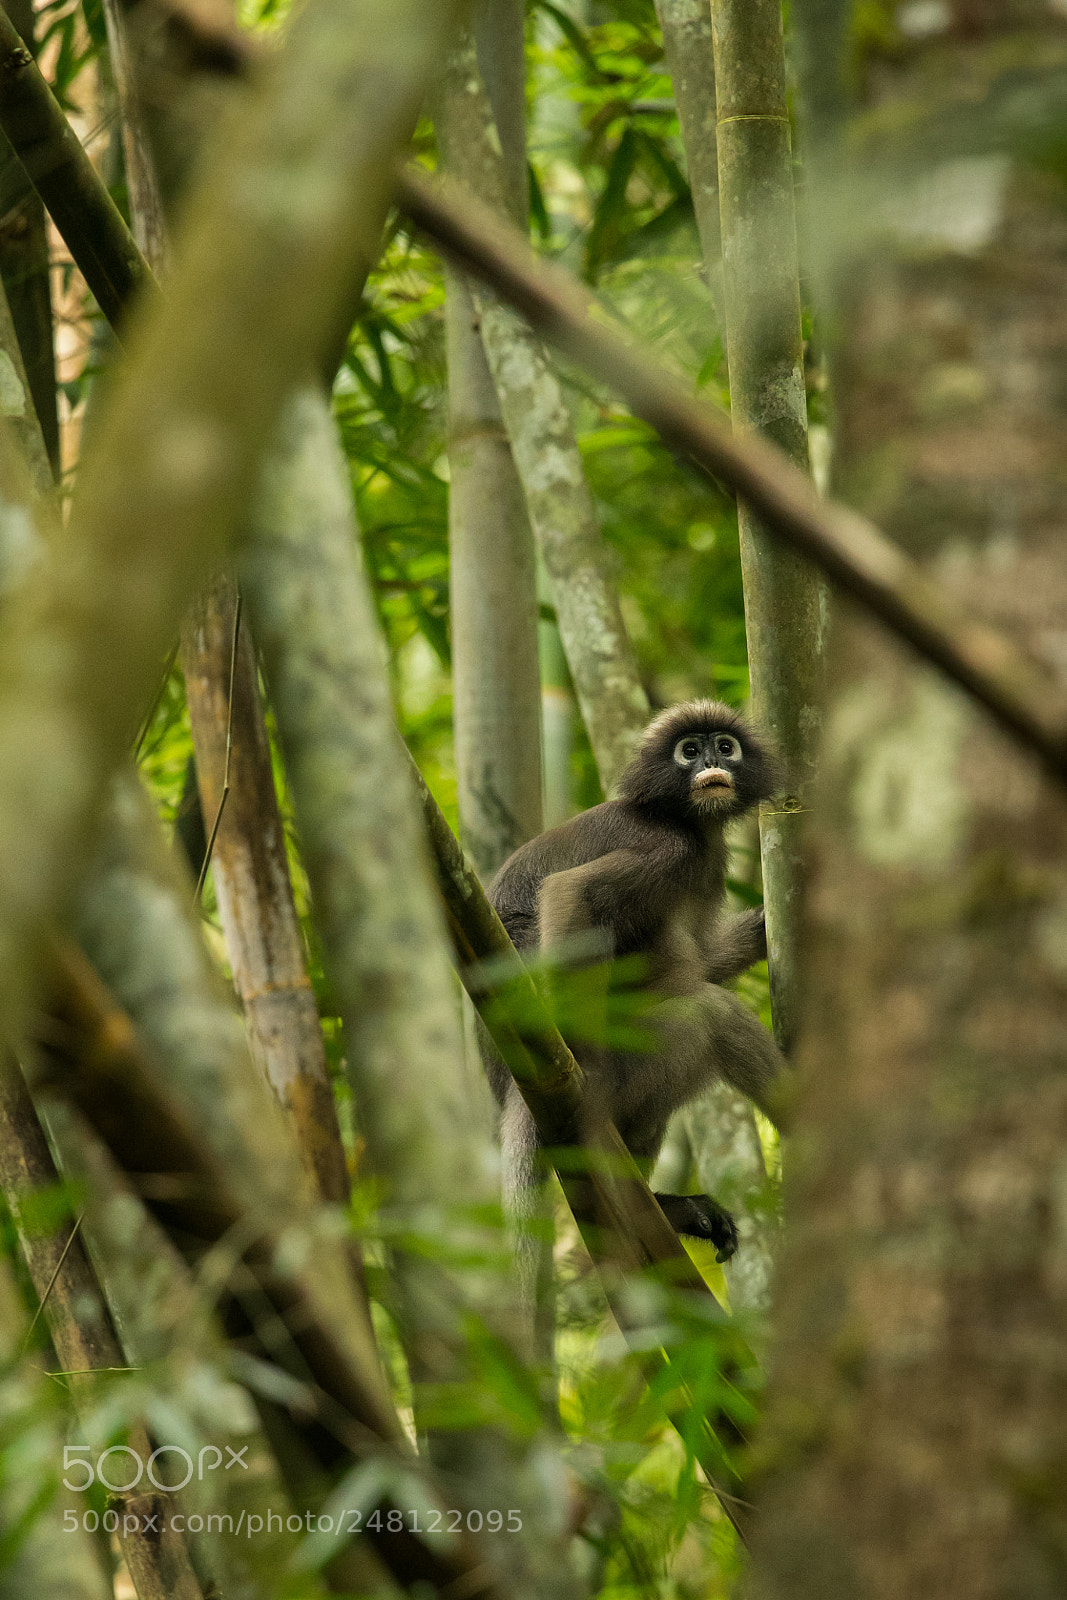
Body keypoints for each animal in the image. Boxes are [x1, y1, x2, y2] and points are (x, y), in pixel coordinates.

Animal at [485, 699, 787, 1277]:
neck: (681, 818)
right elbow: (572, 892)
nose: (709, 765)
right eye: (689, 751)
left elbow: (702, 958)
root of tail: (512, 1090)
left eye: (725, 746)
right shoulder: (666, 847)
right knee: (713, 1015)